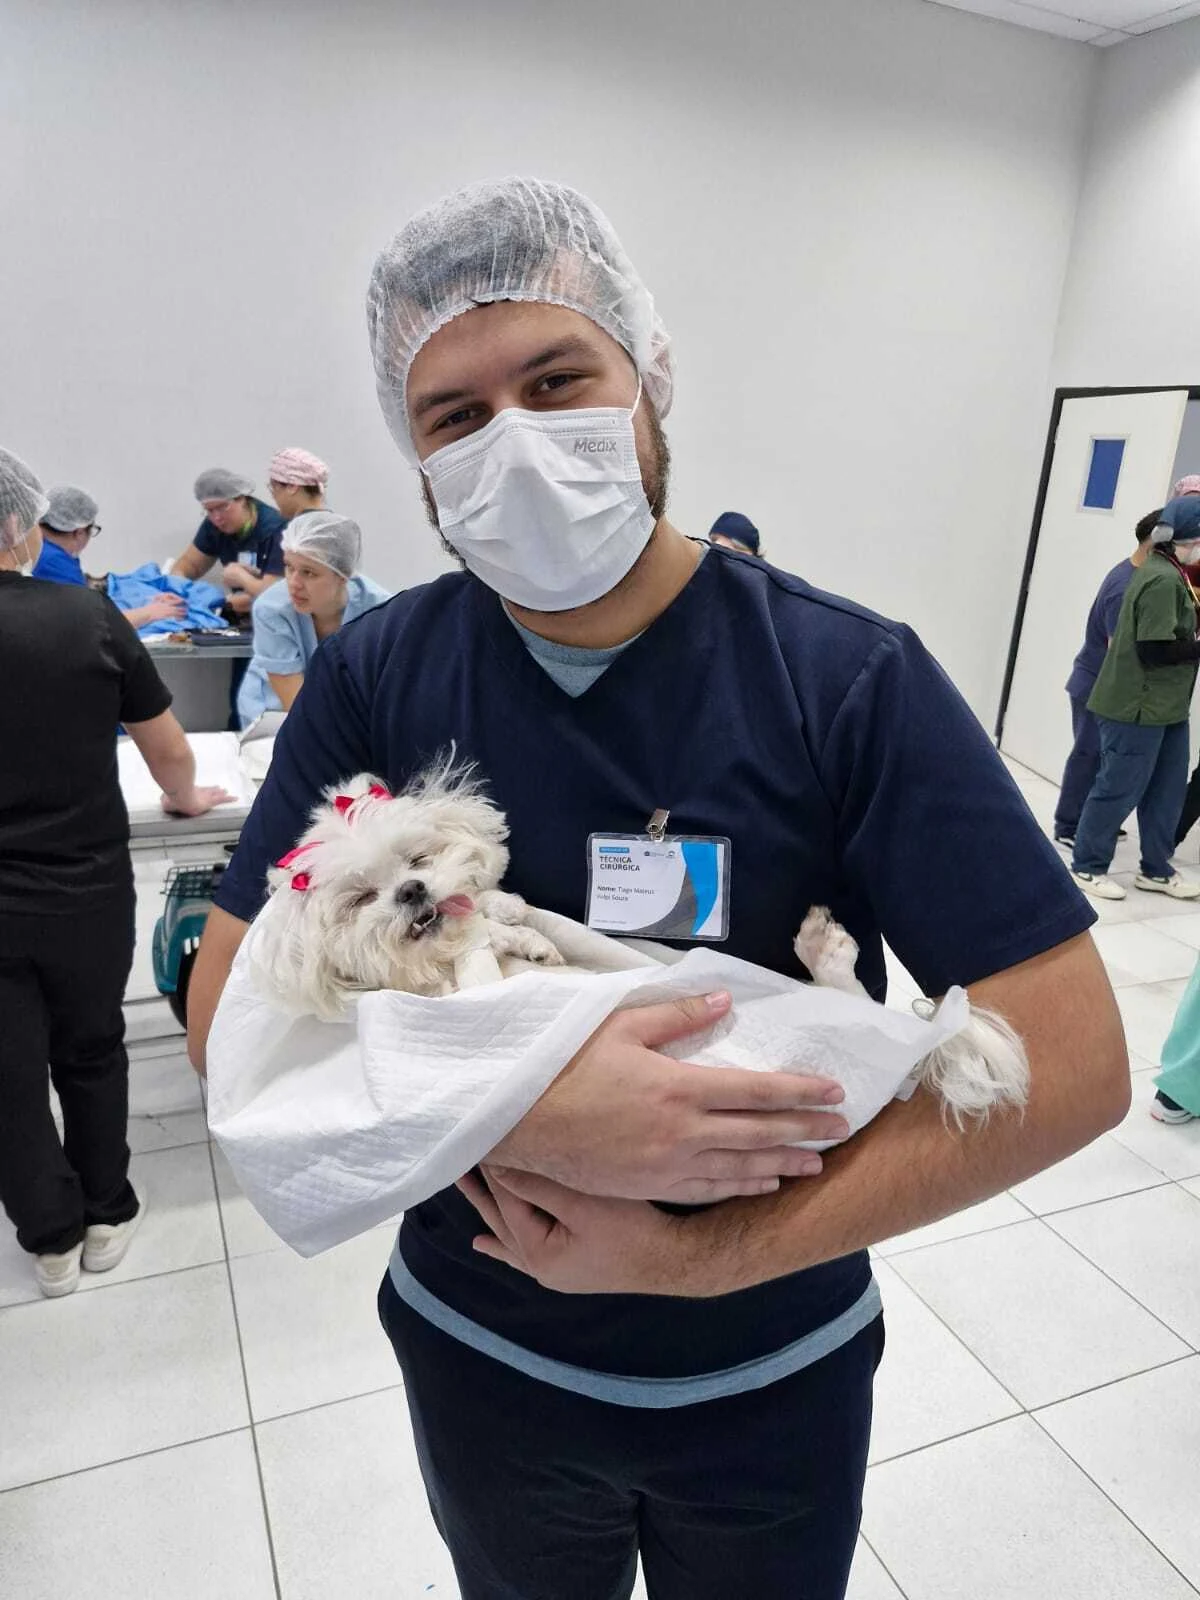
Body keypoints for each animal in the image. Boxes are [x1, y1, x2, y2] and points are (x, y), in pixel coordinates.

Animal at [249, 765, 1028, 1127]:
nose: (412, 892)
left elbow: (512, 917)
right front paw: (497, 938)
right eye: (360, 898)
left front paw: (512, 919)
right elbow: (474, 970)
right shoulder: (455, 999)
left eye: (418, 856)